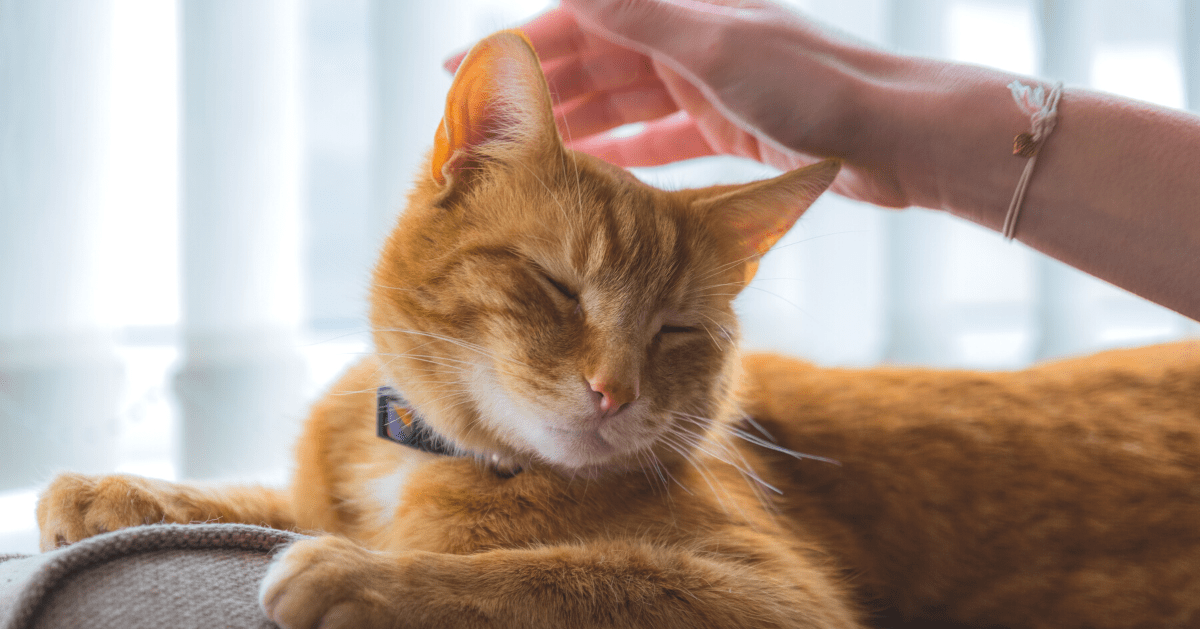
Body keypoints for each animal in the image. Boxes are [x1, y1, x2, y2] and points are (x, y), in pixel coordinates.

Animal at [32, 30, 1200, 629]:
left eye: (678, 327)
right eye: (556, 286)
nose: (613, 390)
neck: (429, 460)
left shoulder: (775, 598)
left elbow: (569, 572)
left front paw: (361, 575)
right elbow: (266, 499)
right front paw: (126, 490)